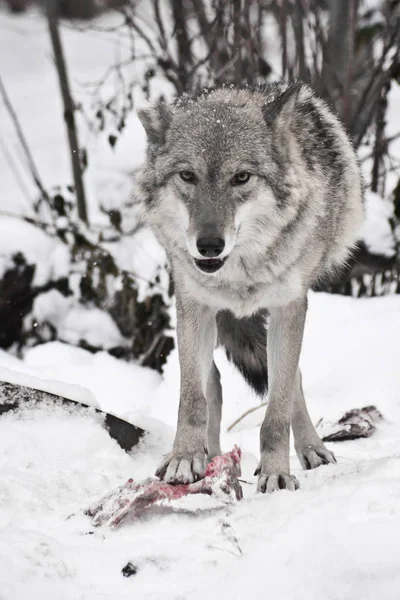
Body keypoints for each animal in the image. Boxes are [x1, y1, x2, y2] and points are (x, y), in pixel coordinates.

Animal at [136, 81, 364, 492]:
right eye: (187, 176)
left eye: (241, 177)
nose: (209, 245)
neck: (238, 275)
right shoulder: (193, 305)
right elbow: (191, 399)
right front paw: (185, 457)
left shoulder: (289, 307)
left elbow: (278, 409)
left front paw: (276, 473)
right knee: (213, 381)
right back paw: (207, 454)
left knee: (291, 382)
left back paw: (312, 449)